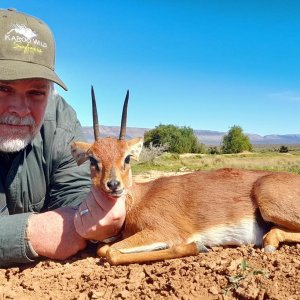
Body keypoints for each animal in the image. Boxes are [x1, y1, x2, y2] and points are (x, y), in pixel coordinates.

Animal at [71, 86, 300, 264]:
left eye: (127, 158)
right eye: (93, 160)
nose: (113, 184)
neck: (139, 198)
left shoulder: (164, 231)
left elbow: (110, 252)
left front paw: (197, 246)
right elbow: (104, 249)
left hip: (268, 199)